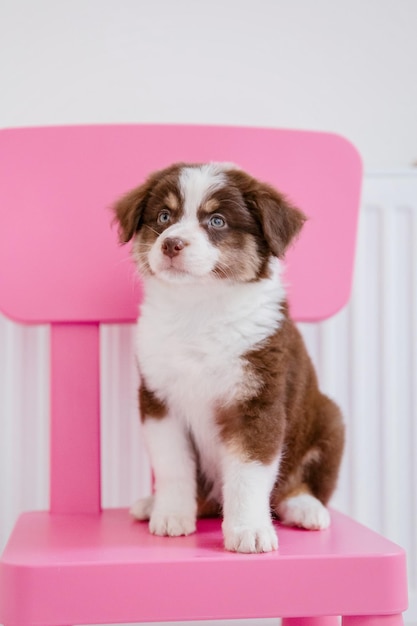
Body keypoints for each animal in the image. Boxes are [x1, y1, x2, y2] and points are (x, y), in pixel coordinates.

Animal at [112, 161, 342, 552]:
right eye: (164, 216)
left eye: (217, 221)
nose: (170, 243)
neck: (199, 308)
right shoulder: (159, 401)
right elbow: (172, 465)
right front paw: (171, 515)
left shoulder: (257, 403)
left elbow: (248, 474)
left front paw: (249, 531)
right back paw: (154, 504)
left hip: (330, 419)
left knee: (293, 487)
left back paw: (306, 508)